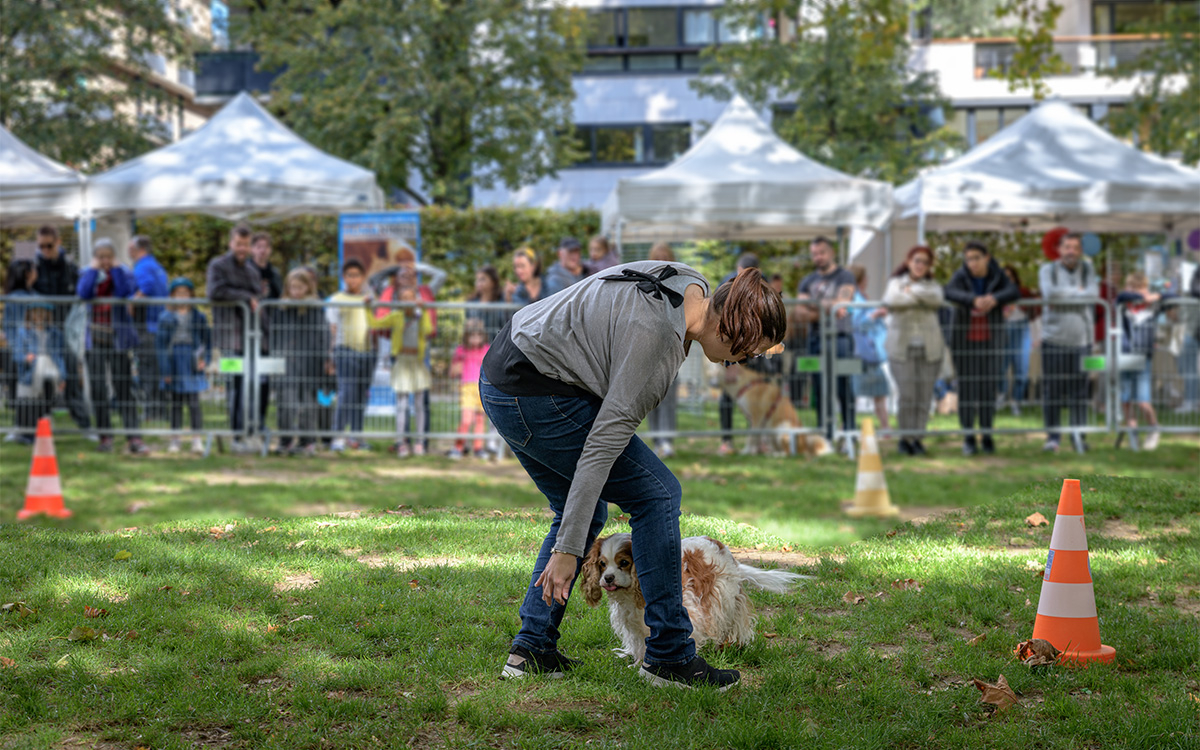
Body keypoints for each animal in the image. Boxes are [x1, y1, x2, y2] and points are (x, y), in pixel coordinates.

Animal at [578, 532, 811, 662]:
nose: (608, 578)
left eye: (624, 563)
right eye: (602, 564)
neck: (634, 594)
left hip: (723, 596)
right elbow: (640, 643)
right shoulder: (634, 624)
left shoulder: (690, 612)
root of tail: (721, 545)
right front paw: (638, 663)